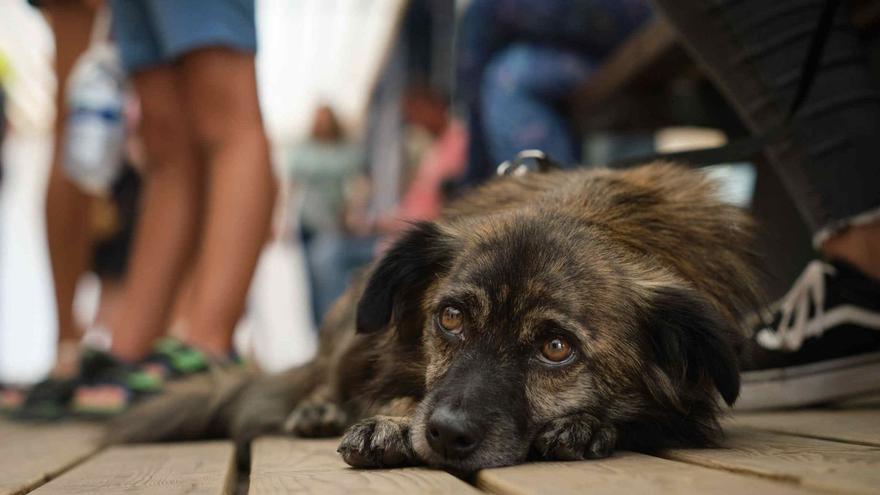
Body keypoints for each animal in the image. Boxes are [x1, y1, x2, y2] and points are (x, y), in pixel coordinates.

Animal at [110, 162, 760, 472]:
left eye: (557, 349)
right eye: (450, 318)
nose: (445, 433)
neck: (595, 214)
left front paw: (585, 426)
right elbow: (396, 390)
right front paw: (393, 422)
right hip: (353, 320)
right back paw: (320, 408)